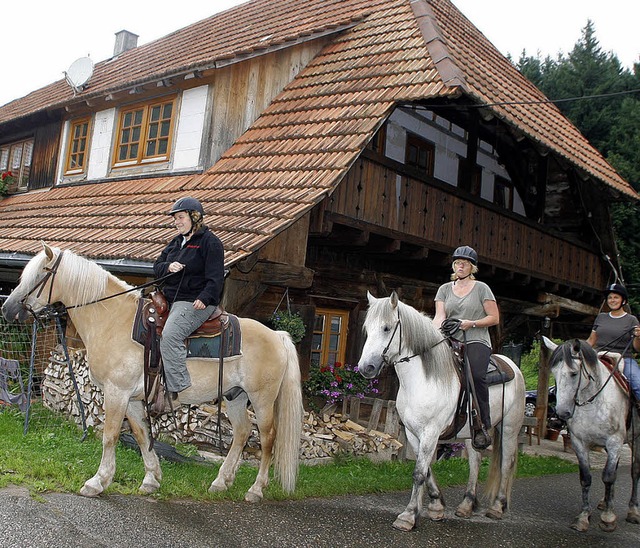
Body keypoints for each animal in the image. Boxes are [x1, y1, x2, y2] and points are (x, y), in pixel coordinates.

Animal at [2, 243, 304, 500]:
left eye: (42, 273)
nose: (8, 309)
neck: (113, 320)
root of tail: (278, 336)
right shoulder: (132, 399)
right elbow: (141, 435)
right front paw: (151, 479)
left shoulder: (117, 392)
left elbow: (110, 435)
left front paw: (97, 482)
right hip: (235, 396)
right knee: (241, 433)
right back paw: (221, 482)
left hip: (262, 399)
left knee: (267, 438)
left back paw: (256, 489)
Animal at [540, 334, 640, 532]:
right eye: (554, 372)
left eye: (574, 373)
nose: (562, 413)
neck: (593, 401)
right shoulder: (579, 442)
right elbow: (586, 478)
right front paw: (583, 516)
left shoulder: (614, 441)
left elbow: (608, 477)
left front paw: (608, 518)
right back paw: (604, 502)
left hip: (636, 441)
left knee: (634, 472)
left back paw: (633, 511)